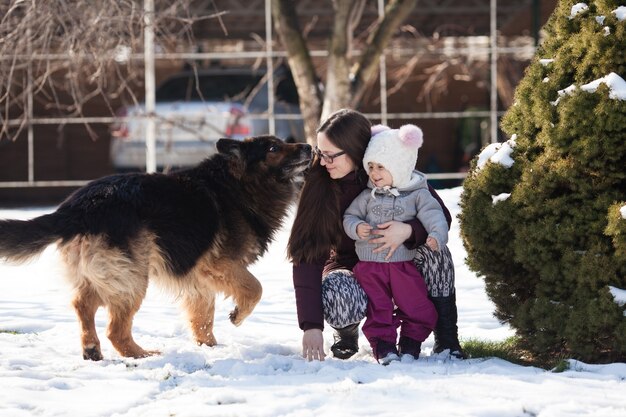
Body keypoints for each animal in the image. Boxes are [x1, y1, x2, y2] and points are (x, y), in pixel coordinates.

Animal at [0, 135, 310, 360]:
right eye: (273, 148)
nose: (308, 146)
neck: (238, 183)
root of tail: (80, 206)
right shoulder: (220, 265)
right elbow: (255, 288)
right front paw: (237, 316)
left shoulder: (200, 281)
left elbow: (203, 319)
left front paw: (209, 348)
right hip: (132, 276)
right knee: (115, 329)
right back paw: (141, 354)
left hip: (107, 274)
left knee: (82, 304)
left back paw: (92, 348)